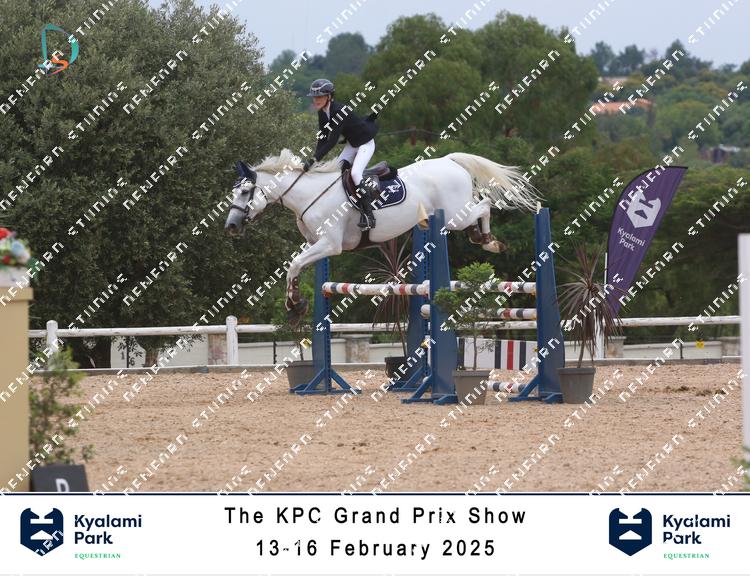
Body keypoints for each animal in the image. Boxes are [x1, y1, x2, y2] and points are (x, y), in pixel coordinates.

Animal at [225, 148, 541, 323]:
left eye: (245, 191)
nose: (231, 226)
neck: (310, 194)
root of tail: (451, 161)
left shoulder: (330, 245)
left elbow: (294, 265)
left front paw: (294, 305)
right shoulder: (316, 245)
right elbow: (296, 267)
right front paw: (295, 305)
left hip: (454, 215)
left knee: (484, 205)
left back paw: (488, 241)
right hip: (452, 215)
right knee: (480, 208)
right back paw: (481, 237)